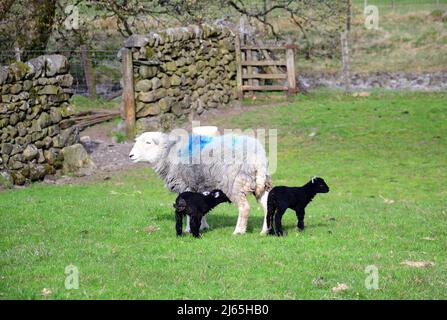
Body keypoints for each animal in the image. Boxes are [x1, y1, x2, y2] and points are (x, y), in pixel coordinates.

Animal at [128, 131, 272, 234]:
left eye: (148, 142)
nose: (130, 156)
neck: (168, 153)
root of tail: (258, 156)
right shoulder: (199, 187)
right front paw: (203, 226)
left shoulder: (185, 186)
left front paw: (188, 229)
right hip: (259, 182)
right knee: (266, 205)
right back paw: (265, 231)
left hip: (234, 183)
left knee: (244, 208)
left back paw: (238, 231)